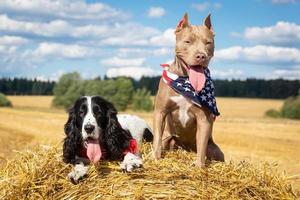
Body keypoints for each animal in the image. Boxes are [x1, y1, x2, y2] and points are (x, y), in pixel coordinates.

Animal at [154, 12, 224, 167]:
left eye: (208, 42)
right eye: (187, 42)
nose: (201, 56)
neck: (186, 81)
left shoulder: (204, 119)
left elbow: (201, 147)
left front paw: (199, 167)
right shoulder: (160, 112)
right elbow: (156, 138)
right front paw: (154, 158)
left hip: (216, 150)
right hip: (169, 139)